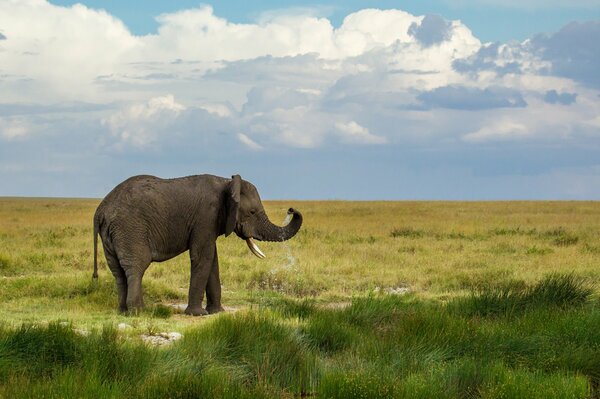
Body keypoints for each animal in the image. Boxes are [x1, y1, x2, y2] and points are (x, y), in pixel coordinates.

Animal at [92, 174, 302, 316]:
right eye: (251, 212)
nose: (291, 209)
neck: (226, 182)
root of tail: (101, 210)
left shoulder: (211, 221)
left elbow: (212, 261)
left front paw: (217, 312)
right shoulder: (205, 216)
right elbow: (203, 257)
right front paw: (197, 314)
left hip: (111, 235)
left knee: (118, 271)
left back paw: (123, 311)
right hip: (130, 229)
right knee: (136, 267)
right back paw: (140, 312)